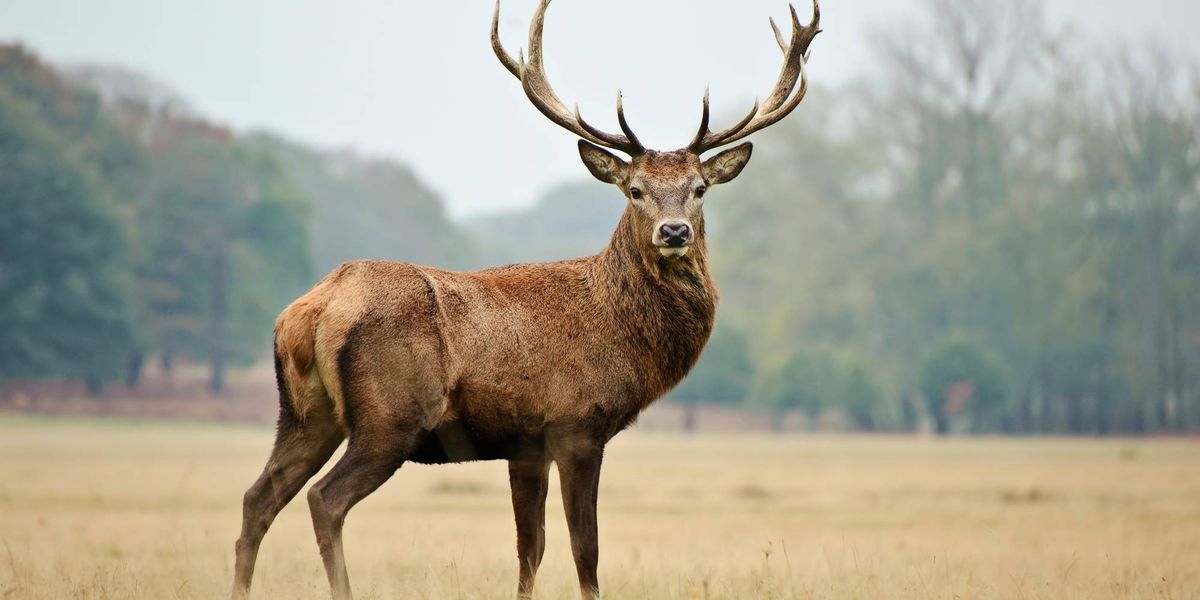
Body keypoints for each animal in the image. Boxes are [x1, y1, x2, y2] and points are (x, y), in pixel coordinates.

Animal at [230, 1, 819, 598]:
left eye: (700, 189)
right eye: (635, 190)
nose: (674, 231)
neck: (623, 333)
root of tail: (310, 311)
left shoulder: (525, 445)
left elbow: (529, 549)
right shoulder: (577, 425)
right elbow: (586, 550)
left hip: (305, 414)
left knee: (258, 497)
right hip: (389, 416)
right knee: (324, 499)